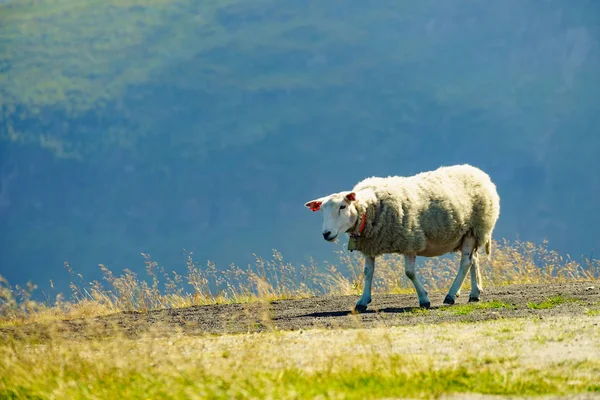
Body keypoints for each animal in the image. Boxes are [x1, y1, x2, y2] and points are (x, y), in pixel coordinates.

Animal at [304, 163, 502, 312]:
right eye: (322, 210)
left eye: (342, 207)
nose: (326, 234)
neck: (371, 208)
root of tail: (480, 174)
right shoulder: (370, 245)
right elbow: (368, 273)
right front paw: (362, 301)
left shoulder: (410, 241)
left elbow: (410, 273)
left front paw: (424, 299)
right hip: (469, 235)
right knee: (474, 260)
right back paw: (474, 293)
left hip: (473, 229)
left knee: (466, 263)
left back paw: (451, 295)